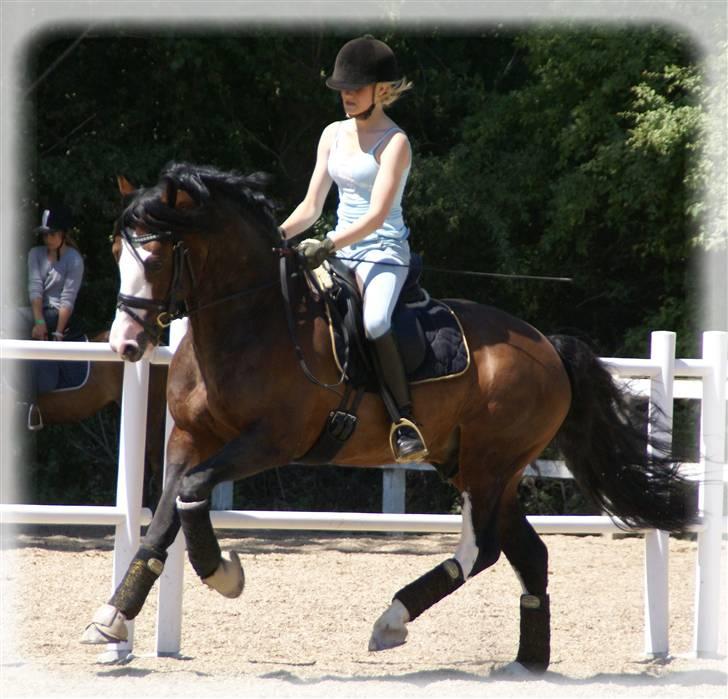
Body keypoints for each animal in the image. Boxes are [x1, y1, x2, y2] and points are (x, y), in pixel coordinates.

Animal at [82, 163, 696, 672]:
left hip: (488, 466)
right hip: (478, 467)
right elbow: (165, 516)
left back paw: (393, 619)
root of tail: (548, 345)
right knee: (528, 552)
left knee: (485, 549)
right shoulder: (190, 437)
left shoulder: (272, 441)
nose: (125, 345)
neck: (250, 322)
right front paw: (111, 619)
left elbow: (191, 493)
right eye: (115, 251)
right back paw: (527, 663)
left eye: (156, 257)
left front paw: (223, 573)